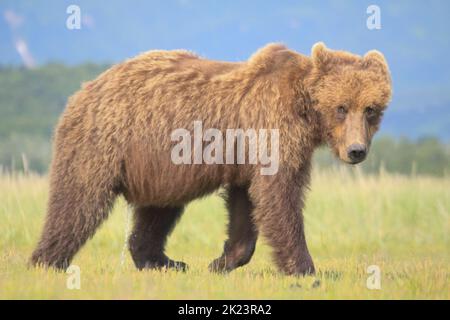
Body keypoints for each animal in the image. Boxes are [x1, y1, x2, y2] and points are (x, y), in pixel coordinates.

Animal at [30, 42, 390, 276]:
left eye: (371, 109)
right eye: (341, 107)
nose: (356, 150)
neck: (304, 111)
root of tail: (85, 88)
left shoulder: (248, 154)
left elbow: (247, 205)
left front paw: (220, 262)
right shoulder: (270, 130)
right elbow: (279, 196)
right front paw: (305, 269)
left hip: (159, 166)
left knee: (158, 210)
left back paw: (165, 262)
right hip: (105, 141)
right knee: (78, 200)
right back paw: (46, 261)